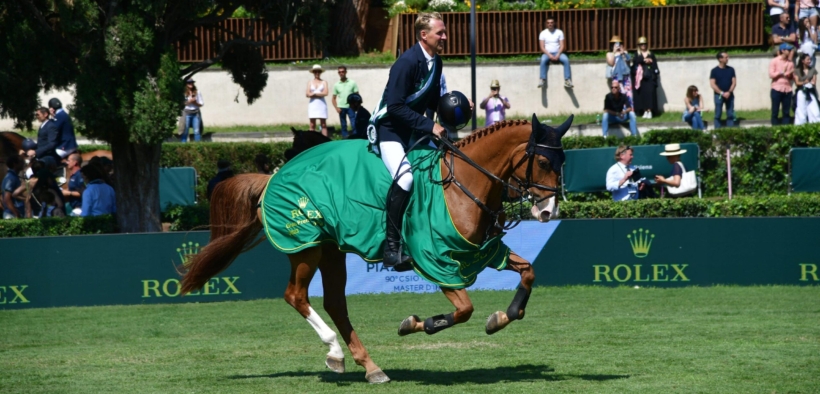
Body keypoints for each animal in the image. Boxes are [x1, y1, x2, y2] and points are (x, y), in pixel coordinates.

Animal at [179, 114, 572, 384]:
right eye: (542, 162)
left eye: (562, 162)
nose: (548, 212)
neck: (463, 184)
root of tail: (274, 176)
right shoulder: (438, 261)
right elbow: (463, 310)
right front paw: (420, 324)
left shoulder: (481, 252)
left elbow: (528, 271)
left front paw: (504, 316)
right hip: (306, 248)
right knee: (296, 296)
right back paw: (335, 351)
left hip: (330, 251)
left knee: (335, 303)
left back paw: (368, 366)